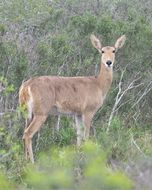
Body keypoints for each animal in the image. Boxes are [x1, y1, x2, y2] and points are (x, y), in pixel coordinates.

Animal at [19, 33, 126, 162]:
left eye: (114, 50)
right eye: (102, 51)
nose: (109, 62)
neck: (98, 85)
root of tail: (26, 87)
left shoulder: (78, 113)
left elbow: (78, 134)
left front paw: (78, 155)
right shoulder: (88, 111)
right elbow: (86, 136)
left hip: (27, 112)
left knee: (24, 133)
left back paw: (24, 161)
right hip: (41, 112)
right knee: (28, 133)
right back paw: (32, 162)